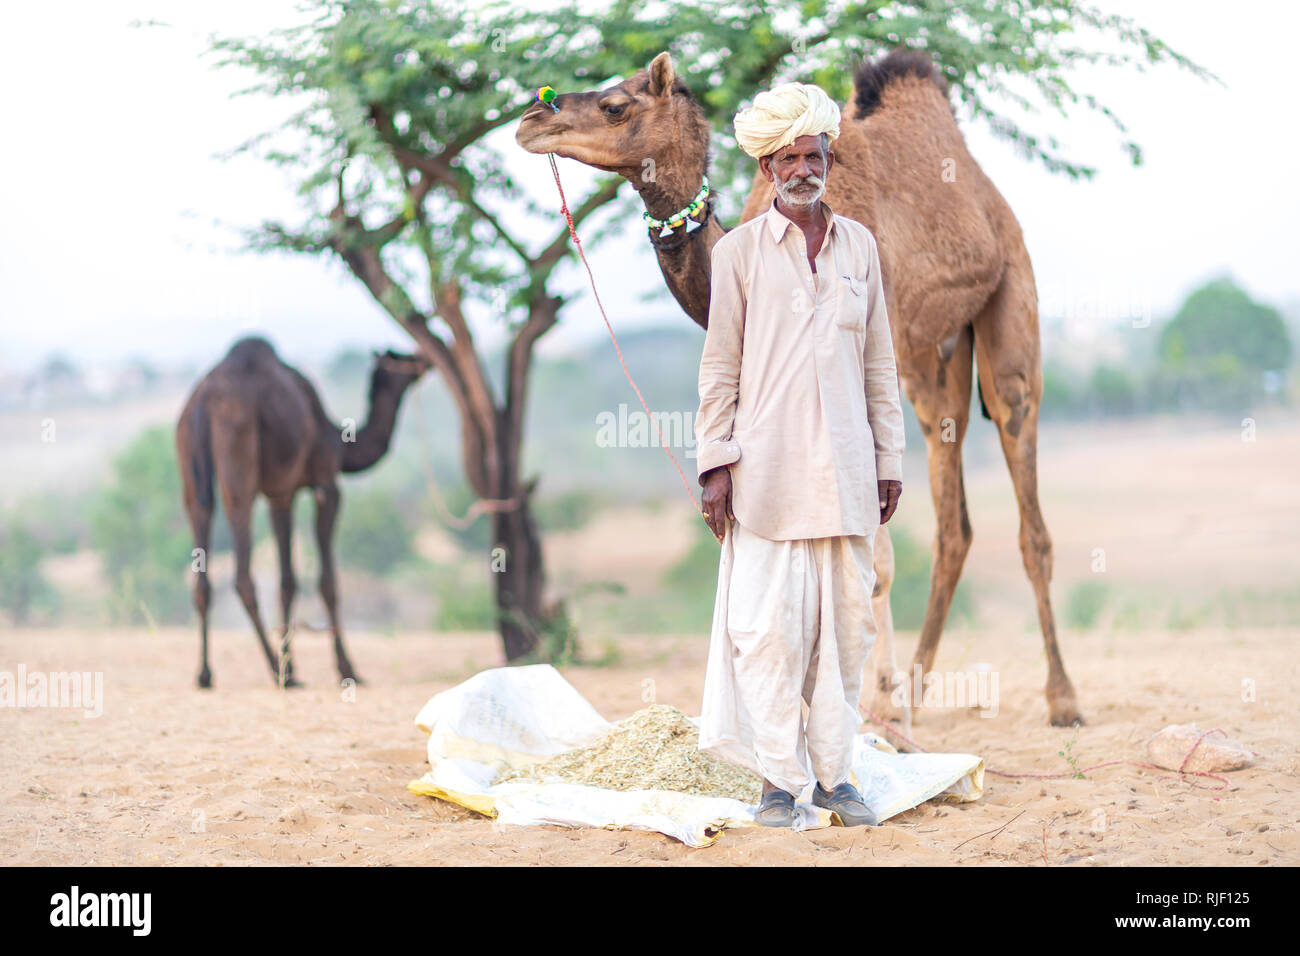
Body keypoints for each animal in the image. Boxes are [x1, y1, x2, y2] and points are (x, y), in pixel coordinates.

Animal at [175, 336, 428, 689]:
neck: (339, 441)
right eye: (402, 358)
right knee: (242, 573)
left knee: (201, 548)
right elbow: (327, 582)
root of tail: (203, 401)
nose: (426, 358)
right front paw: (346, 669)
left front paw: (292, 662)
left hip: (187, 460)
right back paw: (276, 671)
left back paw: (205, 673)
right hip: (238, 456)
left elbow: (288, 582)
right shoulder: (326, 484)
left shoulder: (281, 495)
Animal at [517, 49, 1083, 727]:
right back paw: (919, 691)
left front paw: (876, 709)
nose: (529, 121)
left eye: (614, 105)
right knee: (954, 523)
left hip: (1009, 307)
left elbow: (876, 563)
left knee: (1027, 496)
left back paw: (1060, 699)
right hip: (935, 361)